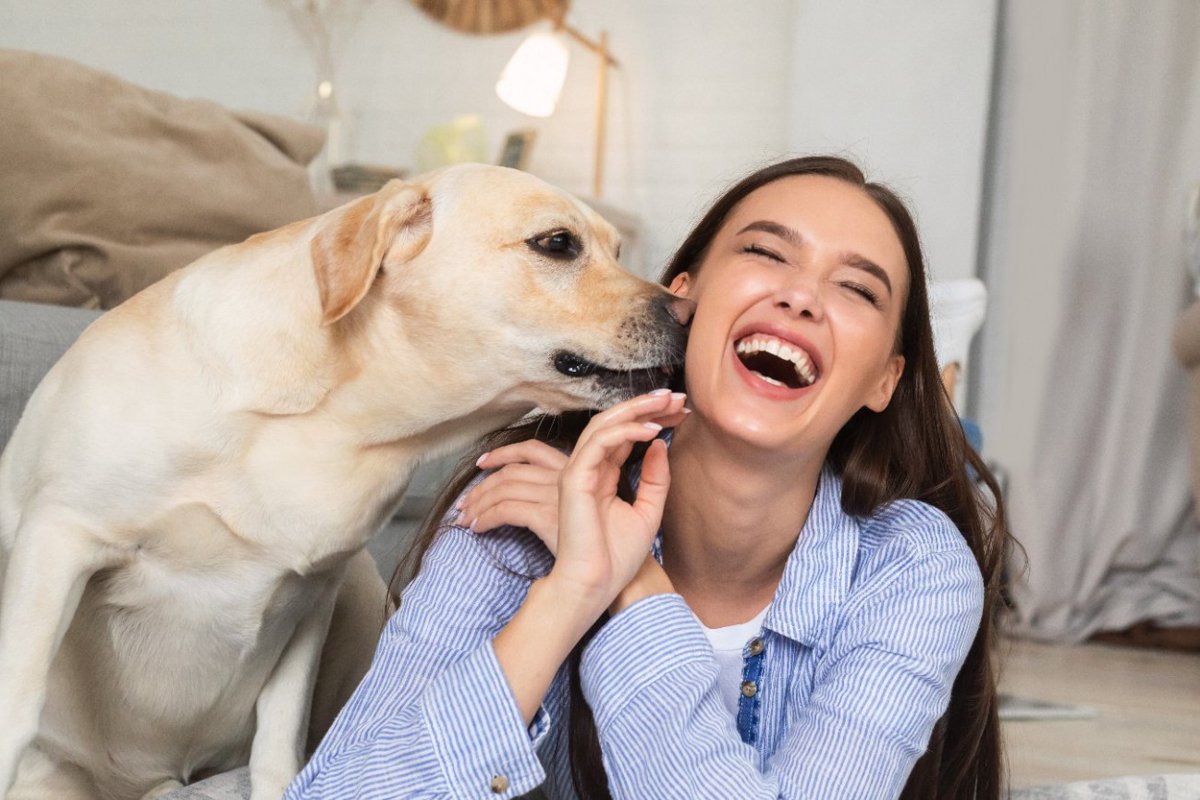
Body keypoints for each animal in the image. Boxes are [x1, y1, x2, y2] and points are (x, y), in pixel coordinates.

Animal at [0, 164, 691, 800]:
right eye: (557, 243)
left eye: (618, 251)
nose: (688, 309)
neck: (335, 422)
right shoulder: (59, 539)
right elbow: (18, 706)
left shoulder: (315, 592)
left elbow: (281, 741)